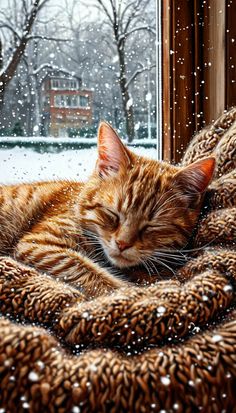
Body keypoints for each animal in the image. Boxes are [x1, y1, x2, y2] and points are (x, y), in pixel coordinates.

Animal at [0, 121, 216, 296]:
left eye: (153, 226)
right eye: (113, 214)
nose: (122, 244)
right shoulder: (40, 245)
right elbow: (88, 272)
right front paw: (131, 293)